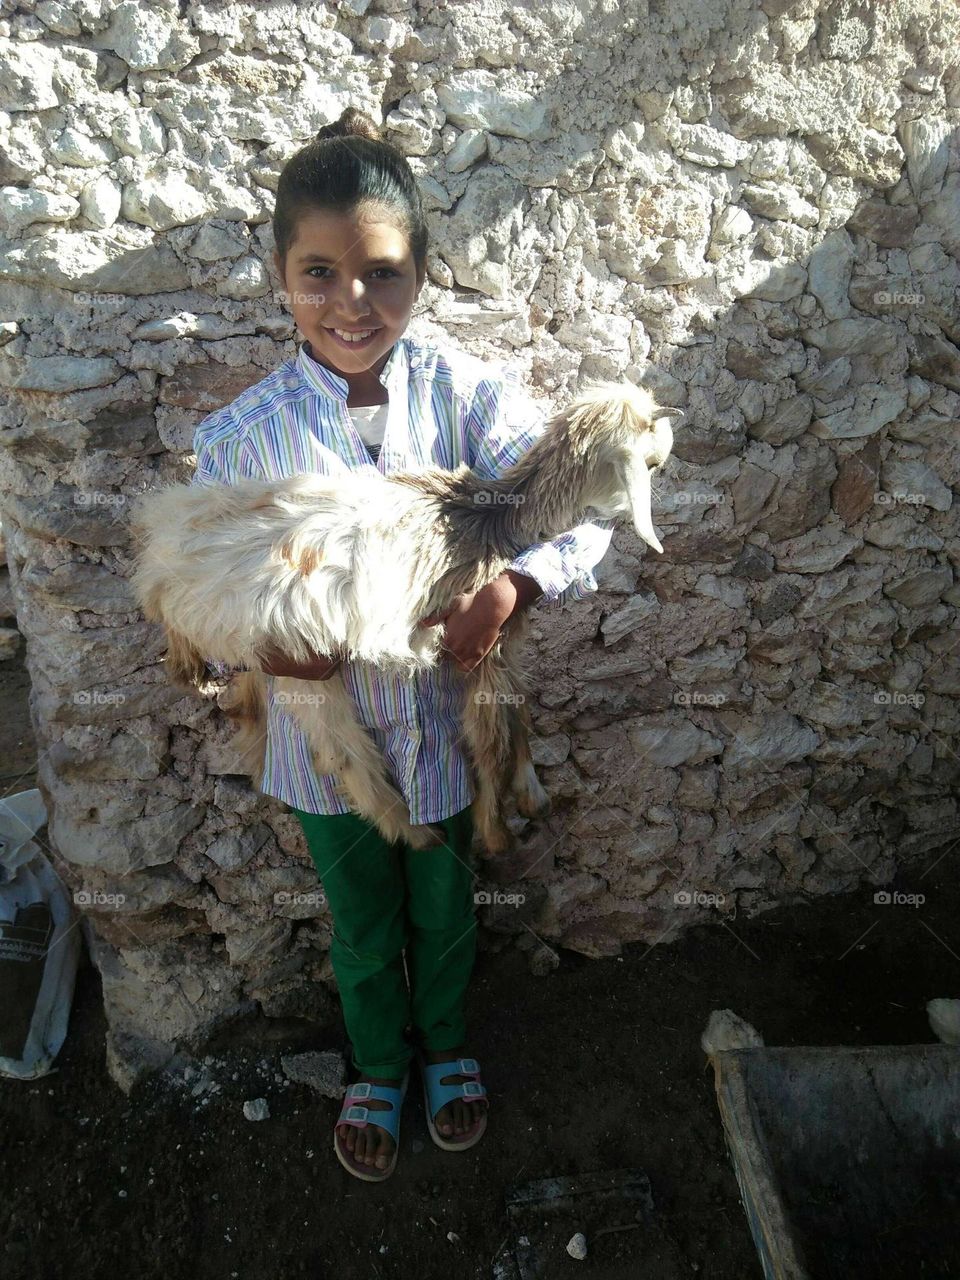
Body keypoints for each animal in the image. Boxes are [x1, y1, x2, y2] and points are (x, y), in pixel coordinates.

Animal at [131, 381, 675, 860]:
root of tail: (164, 551)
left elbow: (519, 712)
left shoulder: (505, 637)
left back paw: (199, 678)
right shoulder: (479, 644)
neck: (489, 523)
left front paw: (532, 792)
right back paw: (414, 832)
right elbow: (491, 741)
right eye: (652, 459)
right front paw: (496, 833)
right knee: (338, 747)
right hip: (293, 648)